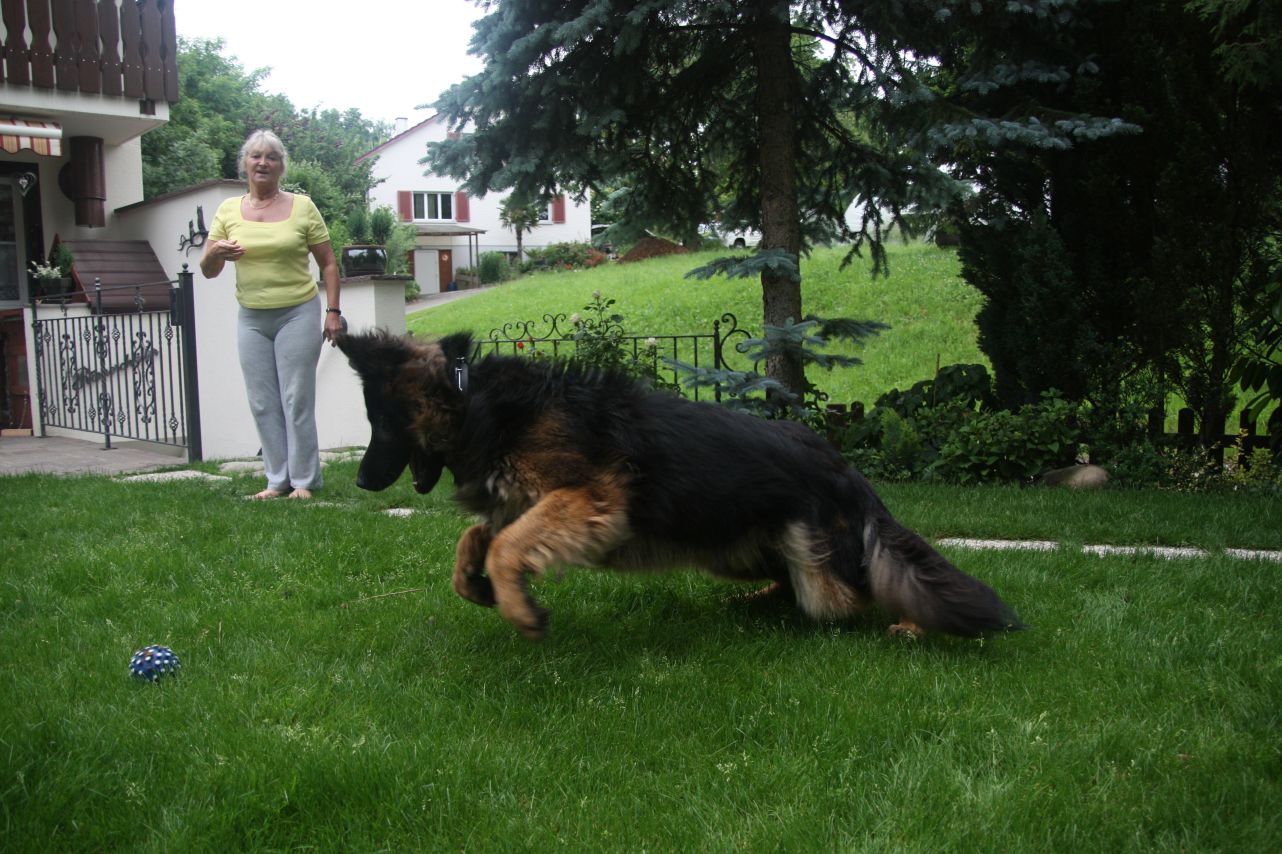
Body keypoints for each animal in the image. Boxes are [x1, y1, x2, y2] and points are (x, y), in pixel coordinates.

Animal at [337, 330, 1023, 641]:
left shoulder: (588, 501)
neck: (472, 400)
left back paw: (910, 625)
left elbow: (505, 544)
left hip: (817, 569)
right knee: (790, 582)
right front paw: (473, 583)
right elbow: (477, 537)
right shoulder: (530, 503)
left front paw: (519, 608)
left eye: (380, 425)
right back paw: (758, 600)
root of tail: (845, 468)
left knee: (861, 588)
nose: (364, 481)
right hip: (734, 547)